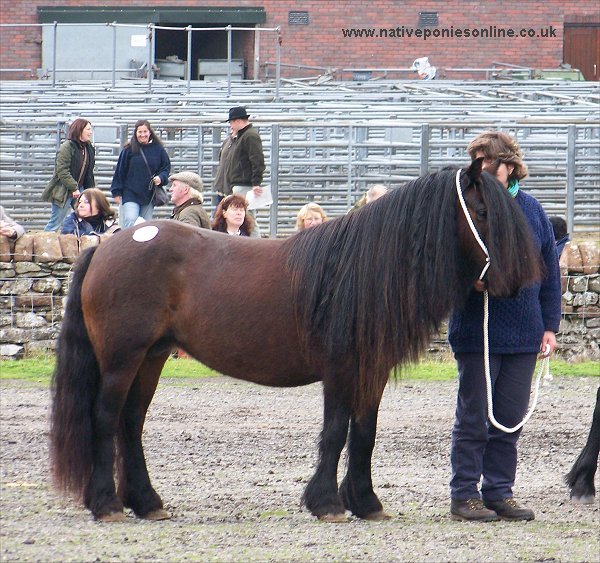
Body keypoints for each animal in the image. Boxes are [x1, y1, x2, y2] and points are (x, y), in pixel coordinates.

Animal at [49, 160, 540, 524]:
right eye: (481, 211)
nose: (518, 282)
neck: (363, 268)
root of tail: (106, 246)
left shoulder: (371, 371)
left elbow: (365, 433)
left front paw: (366, 502)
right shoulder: (340, 369)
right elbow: (336, 432)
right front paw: (327, 504)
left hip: (151, 358)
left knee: (131, 422)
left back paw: (147, 503)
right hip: (121, 360)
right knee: (105, 419)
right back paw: (107, 504)